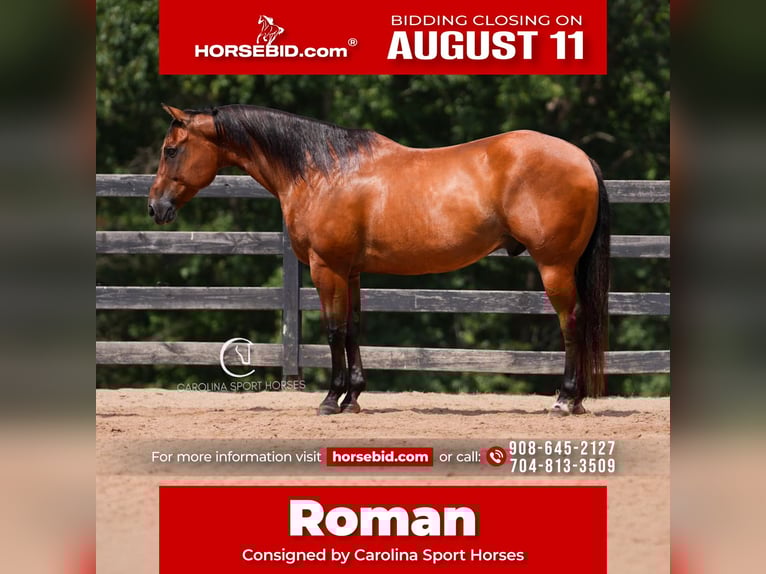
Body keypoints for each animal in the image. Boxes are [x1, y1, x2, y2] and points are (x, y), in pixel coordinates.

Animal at [149, 104, 610, 416]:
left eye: (171, 150)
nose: (156, 207)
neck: (323, 171)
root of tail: (581, 158)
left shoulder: (326, 268)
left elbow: (334, 330)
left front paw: (330, 398)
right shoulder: (351, 272)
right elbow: (353, 328)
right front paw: (352, 396)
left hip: (554, 267)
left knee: (572, 322)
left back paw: (565, 400)